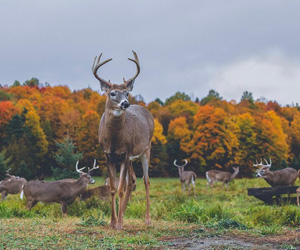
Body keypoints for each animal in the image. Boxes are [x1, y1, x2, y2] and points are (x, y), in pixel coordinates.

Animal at [92, 50, 155, 230]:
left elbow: (120, 188)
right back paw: (124, 213)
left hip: (145, 149)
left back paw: (147, 219)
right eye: (112, 93)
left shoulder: (126, 153)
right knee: (132, 181)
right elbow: (113, 188)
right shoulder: (108, 155)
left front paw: (119, 223)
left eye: (127, 93)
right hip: (131, 158)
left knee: (146, 181)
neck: (114, 141)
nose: (125, 103)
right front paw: (112, 222)